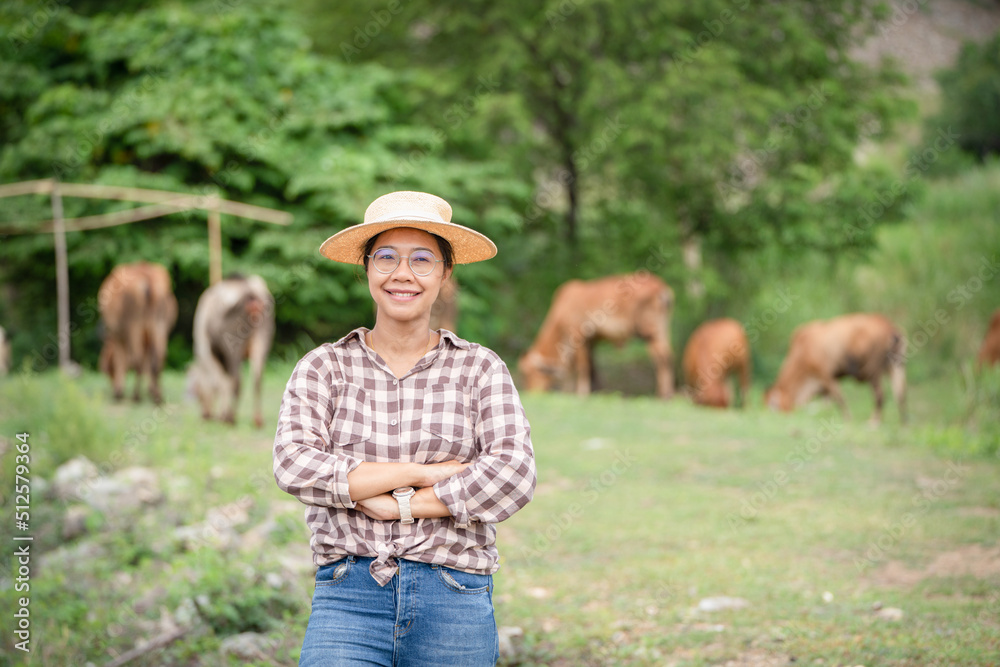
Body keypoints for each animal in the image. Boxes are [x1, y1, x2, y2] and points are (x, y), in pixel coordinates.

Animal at [97, 262, 178, 404]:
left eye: (108, 369)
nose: (111, 383)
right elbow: (148, 362)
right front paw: (151, 390)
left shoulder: (117, 335)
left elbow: (121, 359)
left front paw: (119, 392)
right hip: (159, 326)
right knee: (158, 359)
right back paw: (158, 397)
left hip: (134, 327)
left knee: (138, 359)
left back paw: (136, 396)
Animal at [186, 276, 274, 428]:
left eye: (197, 392)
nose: (205, 414)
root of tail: (252, 294)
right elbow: (225, 381)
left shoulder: (207, 349)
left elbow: (221, 382)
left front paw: (222, 415)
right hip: (262, 341)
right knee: (257, 380)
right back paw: (257, 420)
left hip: (233, 343)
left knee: (237, 380)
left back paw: (230, 418)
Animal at [520, 272, 676, 400]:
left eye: (528, 374)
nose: (530, 393)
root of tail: (661, 287)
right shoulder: (591, 341)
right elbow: (586, 367)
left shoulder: (579, 335)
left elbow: (582, 367)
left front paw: (582, 393)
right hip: (662, 331)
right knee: (667, 355)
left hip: (650, 333)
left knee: (661, 358)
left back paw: (663, 395)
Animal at [764, 312, 908, 426]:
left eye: (773, 407)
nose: (770, 419)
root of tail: (889, 326)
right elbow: (827, 401)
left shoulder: (826, 375)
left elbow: (839, 398)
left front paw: (847, 418)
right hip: (896, 366)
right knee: (900, 393)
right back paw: (903, 423)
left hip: (874, 370)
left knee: (880, 395)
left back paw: (874, 421)